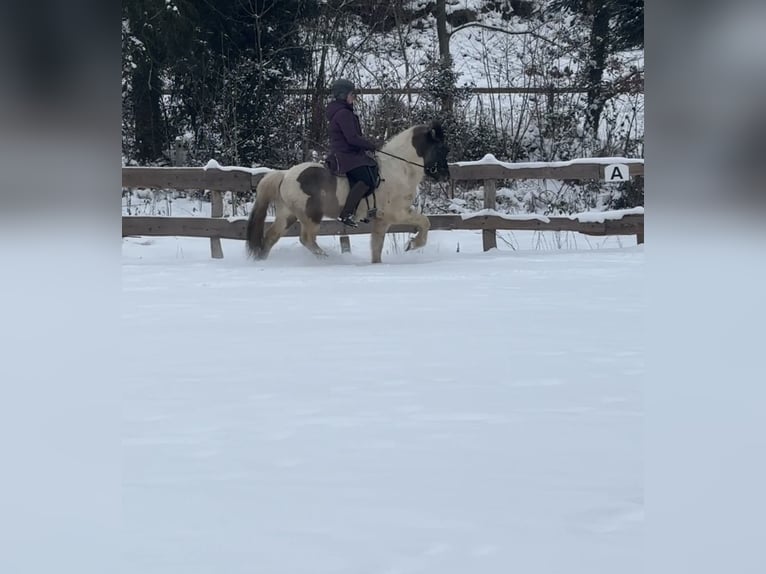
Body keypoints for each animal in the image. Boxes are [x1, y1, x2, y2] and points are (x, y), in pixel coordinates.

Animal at [245, 120, 450, 264]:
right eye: (442, 149)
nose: (446, 176)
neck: (400, 168)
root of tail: (286, 175)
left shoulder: (382, 220)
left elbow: (376, 248)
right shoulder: (398, 213)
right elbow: (425, 222)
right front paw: (412, 245)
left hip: (287, 215)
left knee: (271, 237)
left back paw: (262, 262)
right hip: (310, 216)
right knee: (306, 239)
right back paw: (327, 259)